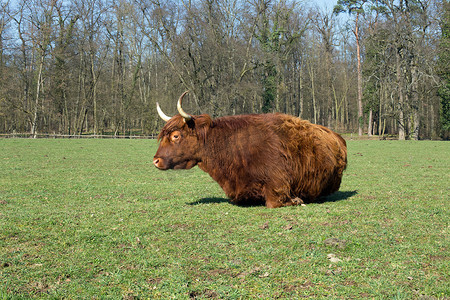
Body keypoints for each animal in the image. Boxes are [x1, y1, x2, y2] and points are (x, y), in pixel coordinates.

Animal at [153, 91, 346, 209]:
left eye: (176, 136)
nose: (156, 160)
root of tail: (337, 137)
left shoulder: (278, 185)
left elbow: (276, 202)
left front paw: (297, 200)